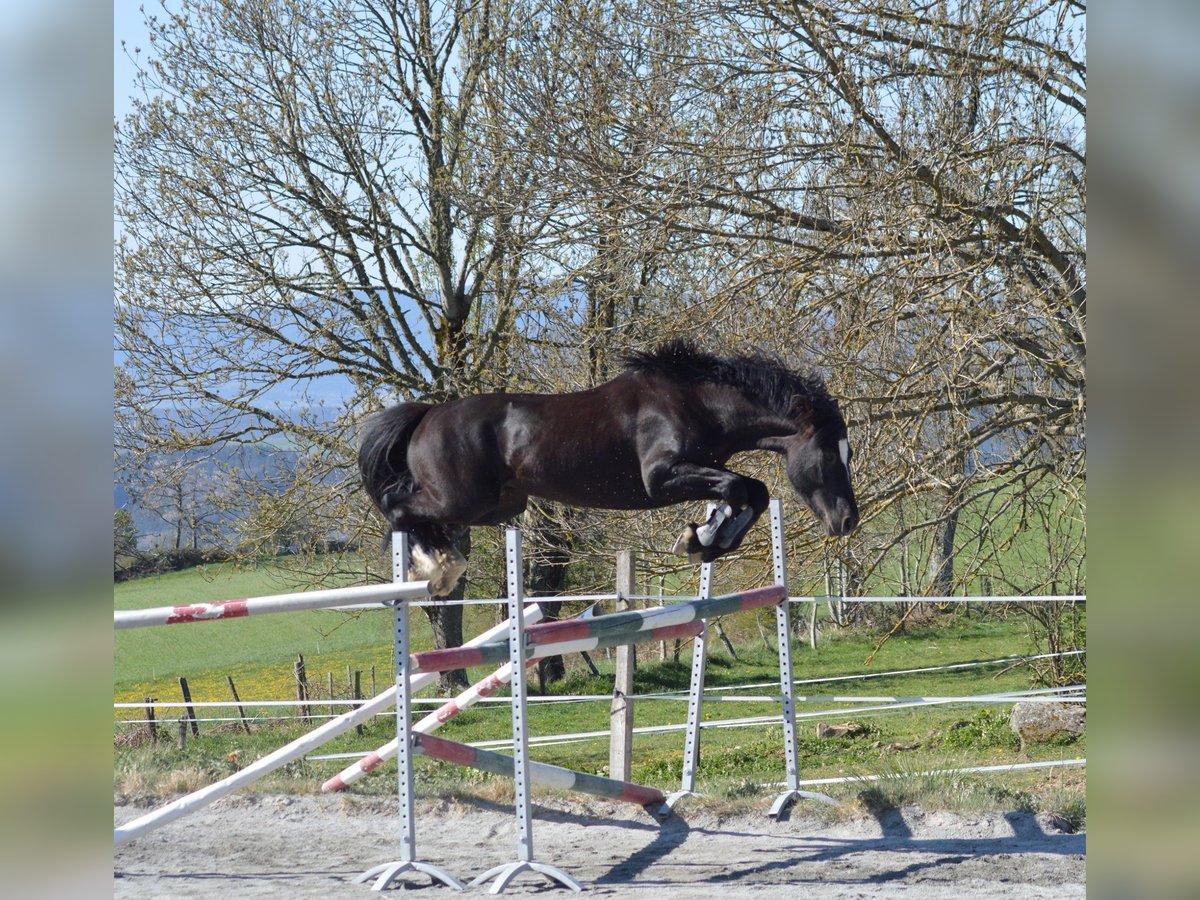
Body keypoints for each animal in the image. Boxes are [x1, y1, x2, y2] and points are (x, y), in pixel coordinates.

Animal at [360, 340, 859, 595]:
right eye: (829, 455)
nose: (847, 521)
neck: (699, 402)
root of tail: (428, 414)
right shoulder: (662, 477)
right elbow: (740, 488)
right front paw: (699, 539)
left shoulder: (699, 471)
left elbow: (750, 492)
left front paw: (705, 539)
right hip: (462, 498)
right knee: (398, 505)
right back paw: (434, 568)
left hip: (497, 506)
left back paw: (438, 564)